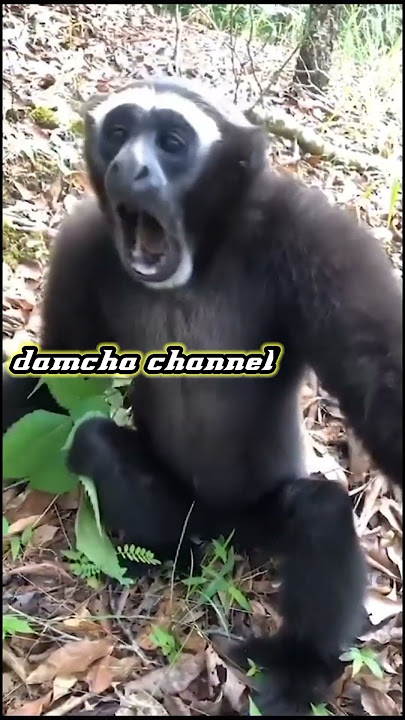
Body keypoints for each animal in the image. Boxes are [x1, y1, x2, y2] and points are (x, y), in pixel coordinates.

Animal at [3, 77, 402, 715]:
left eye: (171, 142)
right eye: (119, 132)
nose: (128, 166)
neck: (198, 263)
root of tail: (223, 527)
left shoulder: (312, 232)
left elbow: (379, 378)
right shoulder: (82, 245)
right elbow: (58, 375)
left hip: (261, 519)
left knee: (318, 508)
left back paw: (300, 666)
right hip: (189, 511)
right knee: (93, 441)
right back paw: (169, 554)